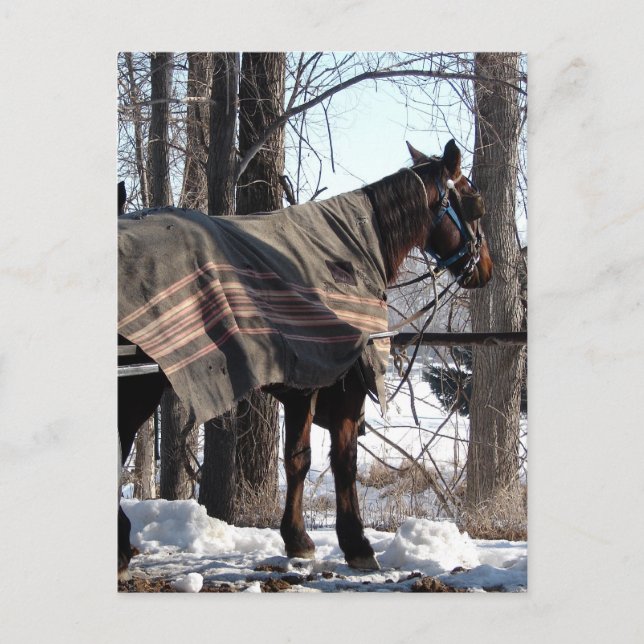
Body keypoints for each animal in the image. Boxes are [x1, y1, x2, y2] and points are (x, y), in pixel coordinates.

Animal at [117, 139, 493, 578]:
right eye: (473, 204)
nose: (485, 268)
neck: (350, 247)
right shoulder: (344, 379)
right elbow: (343, 459)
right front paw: (356, 543)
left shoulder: (303, 382)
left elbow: (297, 458)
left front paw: (297, 539)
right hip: (138, 384)